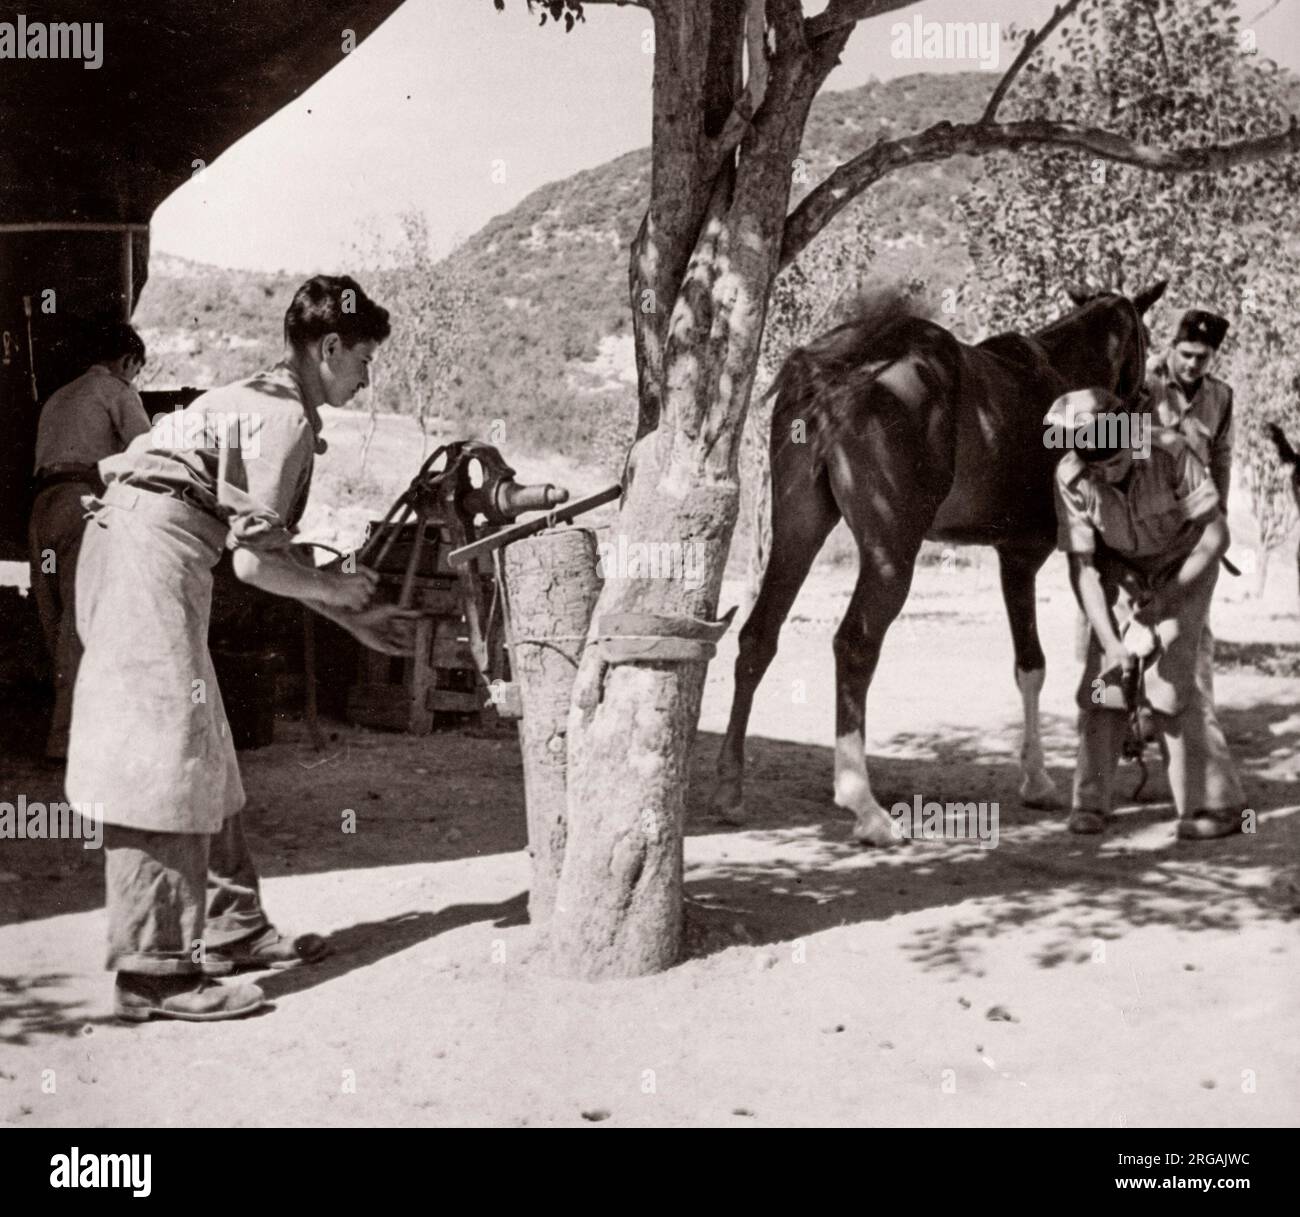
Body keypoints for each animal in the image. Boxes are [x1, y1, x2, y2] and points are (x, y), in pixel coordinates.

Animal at [712, 280, 1170, 842]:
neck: (1063, 373)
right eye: (1145, 337)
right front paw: (1053, 780)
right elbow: (1073, 660)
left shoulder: (1015, 557)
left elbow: (1033, 664)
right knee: (854, 646)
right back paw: (864, 804)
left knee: (758, 635)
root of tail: (841, 365)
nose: (1143, 405)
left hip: (799, 527)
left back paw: (730, 788)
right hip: (891, 552)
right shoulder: (1045, 557)